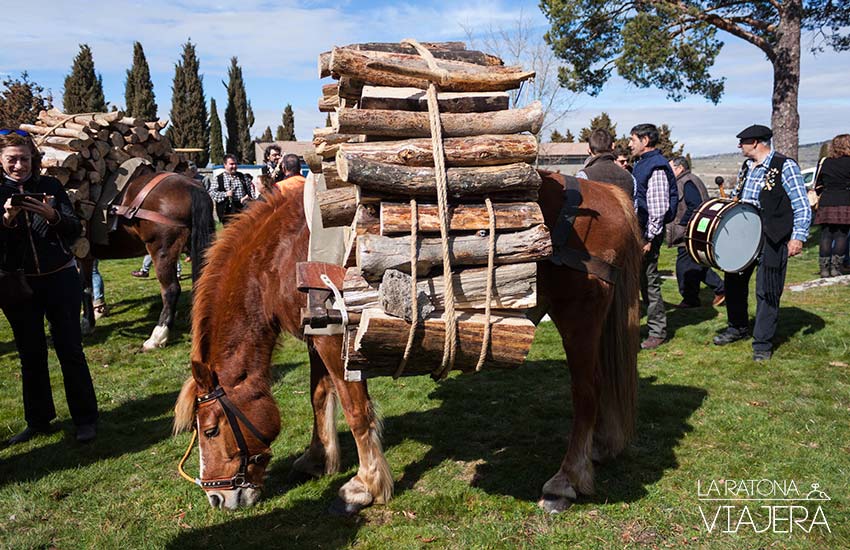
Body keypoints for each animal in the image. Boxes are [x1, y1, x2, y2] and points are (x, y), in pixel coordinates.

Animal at [78, 166, 215, 352]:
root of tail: (191, 186)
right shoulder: (86, 255)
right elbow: (88, 286)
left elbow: (85, 287)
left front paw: (87, 323)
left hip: (162, 252)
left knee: (171, 290)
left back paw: (157, 337)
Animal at [171, 171, 636, 512]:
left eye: (210, 429)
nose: (217, 497)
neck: (284, 256)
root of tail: (609, 194)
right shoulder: (317, 335)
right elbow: (319, 396)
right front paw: (318, 459)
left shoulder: (337, 340)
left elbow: (356, 411)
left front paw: (365, 485)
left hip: (578, 318)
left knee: (587, 393)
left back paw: (566, 480)